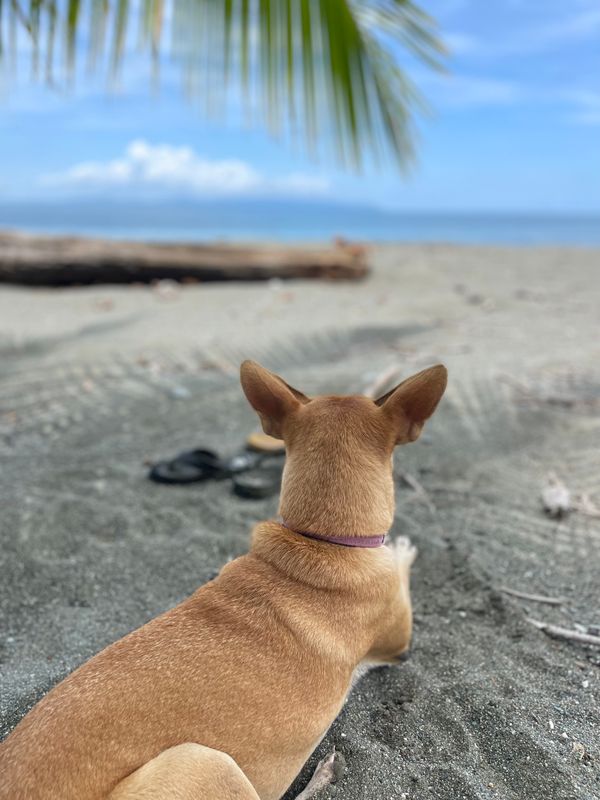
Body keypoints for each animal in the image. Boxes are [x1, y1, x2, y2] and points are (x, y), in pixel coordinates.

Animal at [0, 362, 446, 800]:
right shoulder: (398, 643)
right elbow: (401, 573)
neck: (319, 540)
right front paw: (403, 550)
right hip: (209, 763)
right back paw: (322, 775)